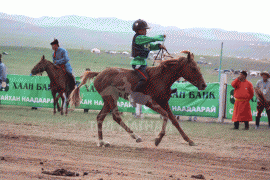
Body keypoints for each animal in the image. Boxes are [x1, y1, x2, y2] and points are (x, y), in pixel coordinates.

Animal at [69, 50, 207, 146]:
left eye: (198, 67)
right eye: (193, 68)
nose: (204, 85)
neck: (161, 78)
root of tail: (99, 74)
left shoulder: (164, 102)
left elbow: (174, 120)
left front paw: (189, 140)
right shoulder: (151, 102)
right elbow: (165, 115)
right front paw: (158, 139)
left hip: (108, 100)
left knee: (100, 117)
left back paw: (102, 142)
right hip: (111, 98)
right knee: (116, 117)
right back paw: (136, 136)